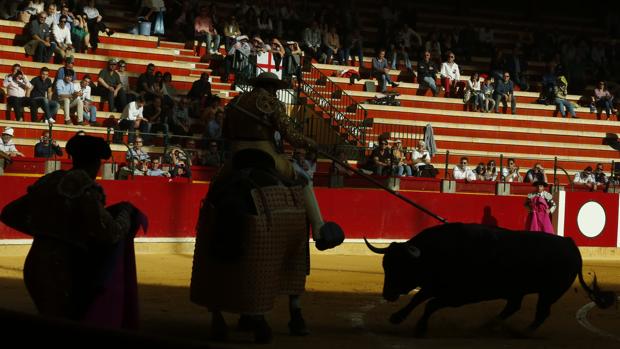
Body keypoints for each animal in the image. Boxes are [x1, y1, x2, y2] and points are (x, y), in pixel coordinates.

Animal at [366, 223, 612, 334]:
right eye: (386, 266)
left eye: (402, 267)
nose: (388, 294)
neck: (439, 252)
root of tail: (571, 244)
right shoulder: (435, 284)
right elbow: (419, 298)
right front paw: (397, 317)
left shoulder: (459, 295)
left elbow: (430, 304)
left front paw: (420, 327)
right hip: (520, 290)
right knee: (513, 306)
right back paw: (490, 325)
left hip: (550, 292)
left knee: (542, 312)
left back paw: (522, 333)